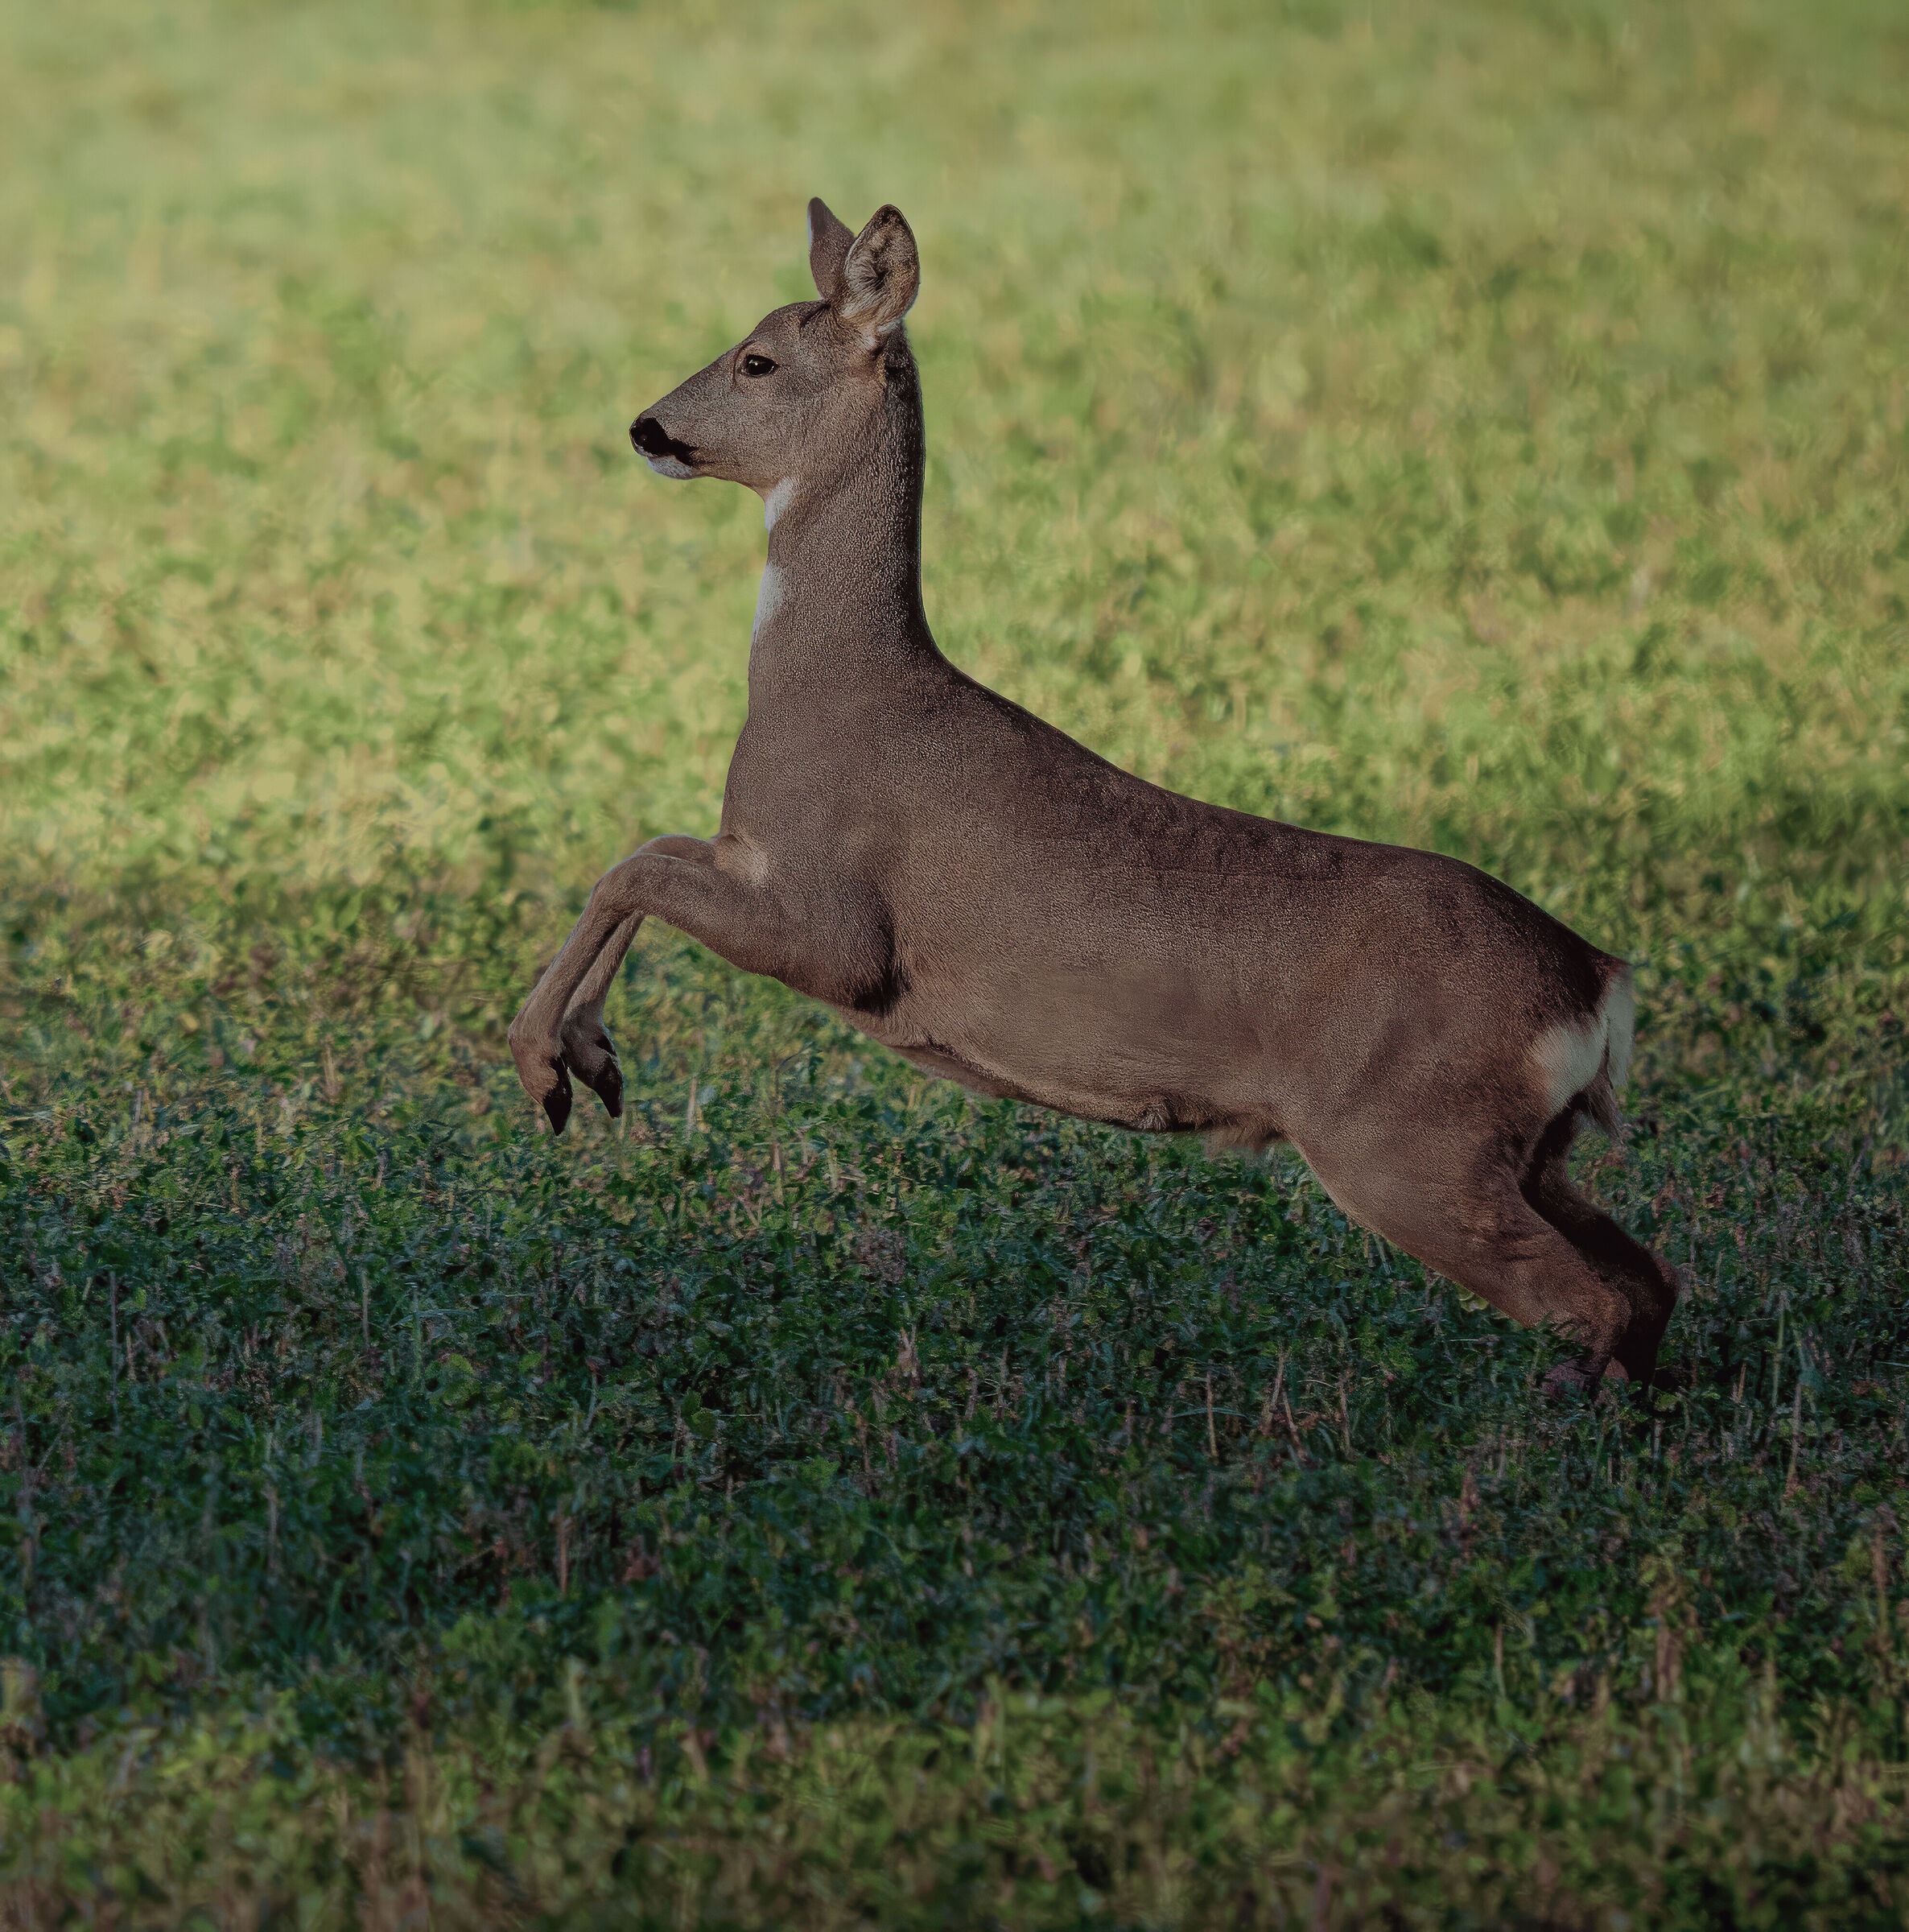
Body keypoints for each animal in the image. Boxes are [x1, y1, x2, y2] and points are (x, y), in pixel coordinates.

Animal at [507, 197, 1680, 1394]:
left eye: (757, 358)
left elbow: (633, 866)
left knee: (1585, 1295)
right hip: (1519, 1149)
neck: (832, 684)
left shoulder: (841, 933)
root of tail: (1595, 981)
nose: (647, 427)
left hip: (1407, 1142)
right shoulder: (763, 872)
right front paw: (589, 1063)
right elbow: (647, 851)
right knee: (1649, 1278)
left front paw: (550, 1068)